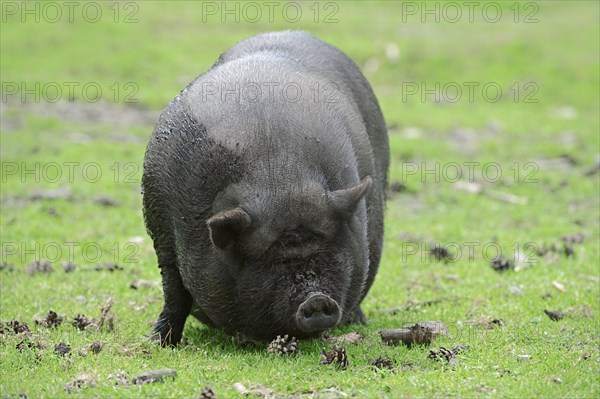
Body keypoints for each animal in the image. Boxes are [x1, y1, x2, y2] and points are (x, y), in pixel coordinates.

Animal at [144, 31, 392, 346]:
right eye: (270, 260)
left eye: (328, 250)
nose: (316, 300)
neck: (280, 178)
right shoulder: (162, 233)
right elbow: (174, 292)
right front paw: (159, 342)